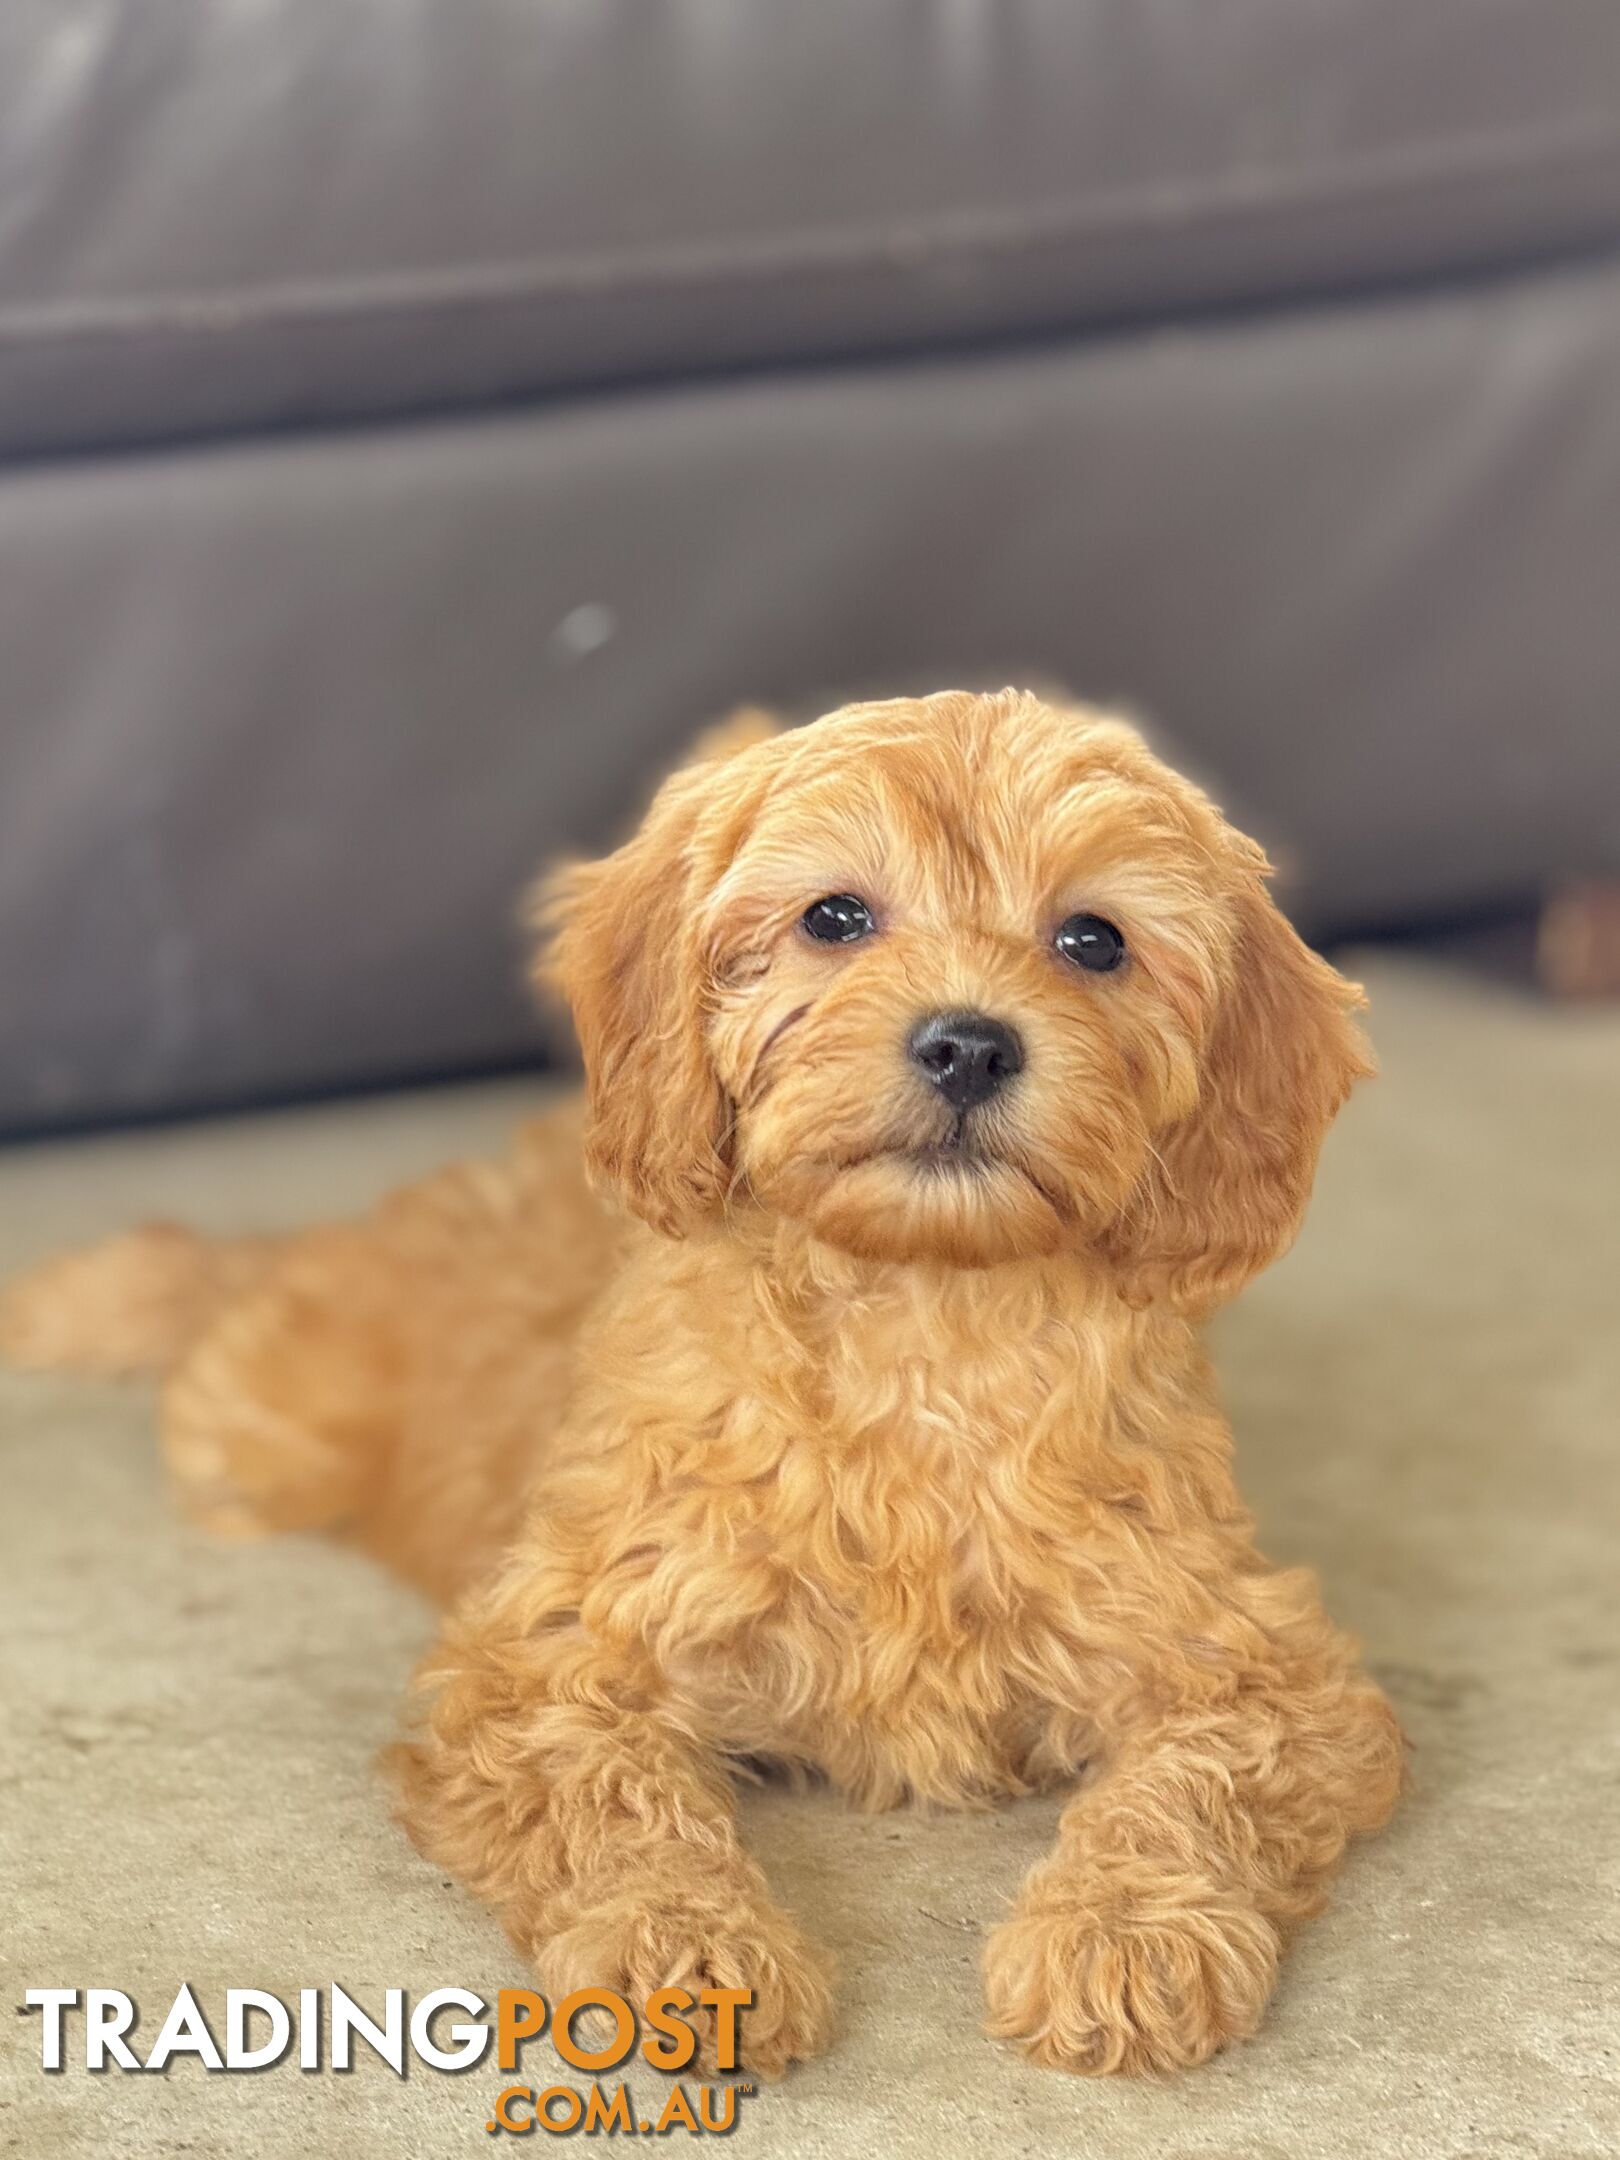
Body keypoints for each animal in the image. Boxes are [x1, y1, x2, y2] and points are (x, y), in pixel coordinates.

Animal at [0, 691, 1399, 2073]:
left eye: (1094, 941)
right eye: (835, 917)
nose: (967, 1045)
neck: (920, 1326)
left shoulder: (1251, 1657)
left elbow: (1197, 1780)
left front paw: (1125, 1929)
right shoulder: (554, 1649)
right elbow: (614, 1796)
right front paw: (684, 1944)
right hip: (267, 1429)